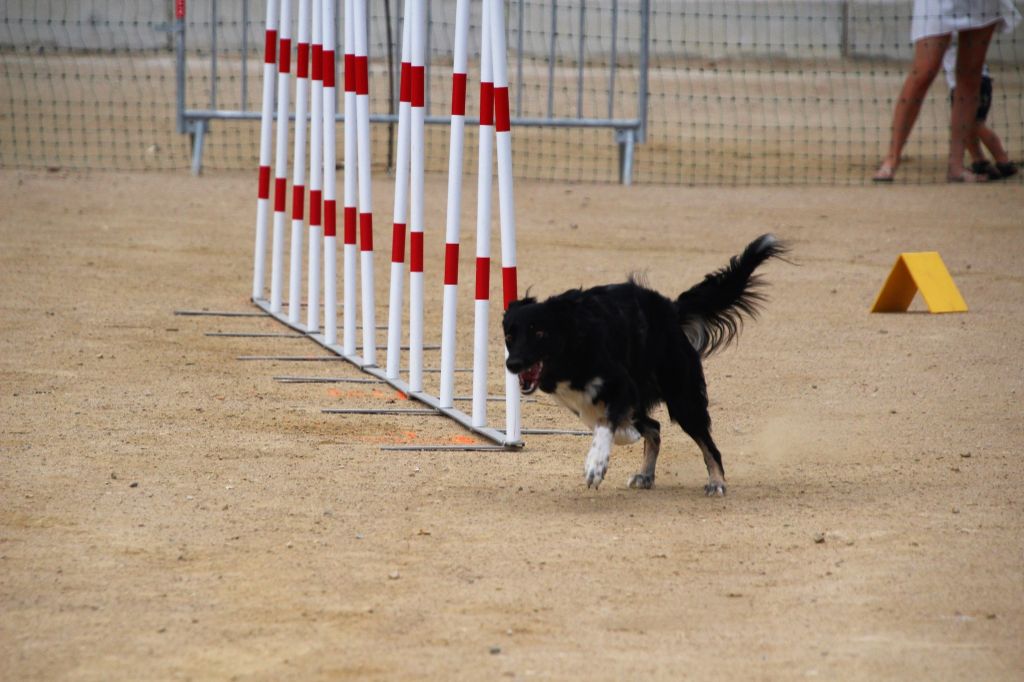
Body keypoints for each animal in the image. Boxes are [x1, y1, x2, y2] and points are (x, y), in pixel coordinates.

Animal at [501, 233, 782, 493]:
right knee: (655, 428)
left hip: (682, 398)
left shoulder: (622, 385)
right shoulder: (585, 401)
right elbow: (606, 422)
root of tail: (671, 310)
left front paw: (596, 464)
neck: (573, 345)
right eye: (509, 337)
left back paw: (717, 481)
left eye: (539, 333)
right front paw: (619, 440)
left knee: (707, 444)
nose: (512, 364)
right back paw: (646, 474)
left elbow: (606, 424)